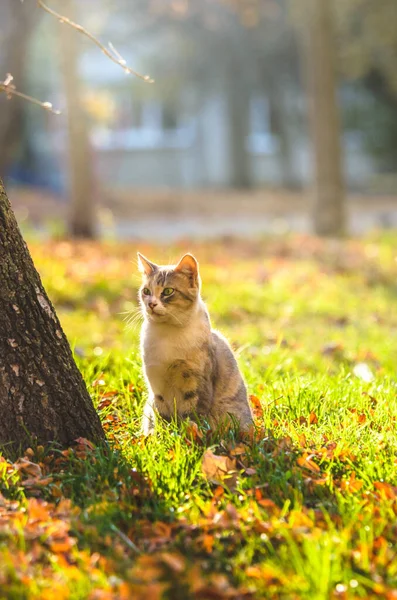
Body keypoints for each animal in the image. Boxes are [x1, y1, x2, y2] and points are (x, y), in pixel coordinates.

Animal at [138, 251, 252, 434]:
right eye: (146, 291)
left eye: (168, 291)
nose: (151, 304)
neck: (168, 334)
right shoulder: (156, 382)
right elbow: (161, 414)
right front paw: (163, 434)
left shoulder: (196, 381)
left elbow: (193, 413)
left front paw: (190, 432)